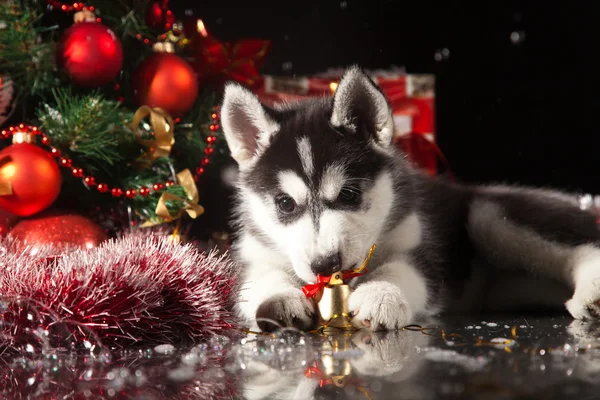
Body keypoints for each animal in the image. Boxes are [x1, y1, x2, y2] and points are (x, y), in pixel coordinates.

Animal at [219, 67, 600, 332]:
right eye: (285, 204)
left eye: (349, 194)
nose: (325, 265)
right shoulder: (253, 255)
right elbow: (261, 280)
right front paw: (280, 299)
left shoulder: (418, 248)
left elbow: (401, 270)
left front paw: (381, 294)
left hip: (488, 214)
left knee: (583, 245)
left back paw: (591, 293)